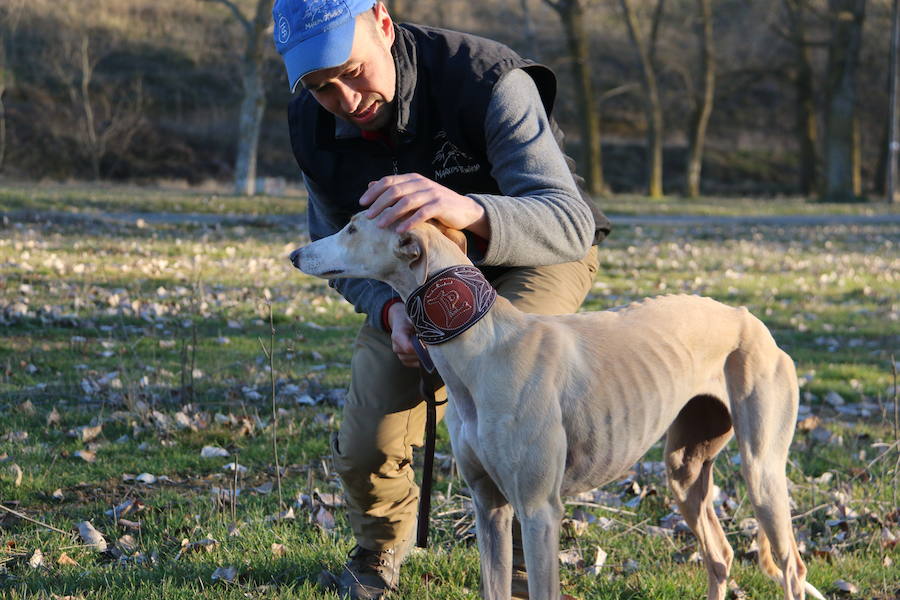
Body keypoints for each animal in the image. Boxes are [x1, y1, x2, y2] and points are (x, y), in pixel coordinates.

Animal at [292, 214, 828, 600]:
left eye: (353, 227)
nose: (295, 253)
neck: (481, 344)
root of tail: (748, 318)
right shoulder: (489, 506)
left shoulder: (539, 511)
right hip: (685, 468)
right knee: (720, 555)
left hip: (762, 471)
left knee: (791, 566)